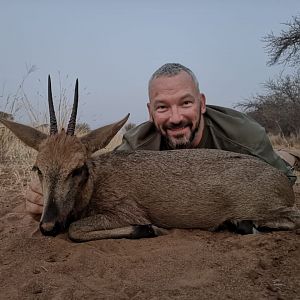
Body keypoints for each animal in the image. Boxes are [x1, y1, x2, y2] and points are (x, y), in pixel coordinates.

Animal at [1, 76, 298, 243]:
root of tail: (282, 182)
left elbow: (75, 230)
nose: (48, 226)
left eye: (78, 169)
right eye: (37, 168)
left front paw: (149, 229)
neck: (98, 181)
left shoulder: (126, 211)